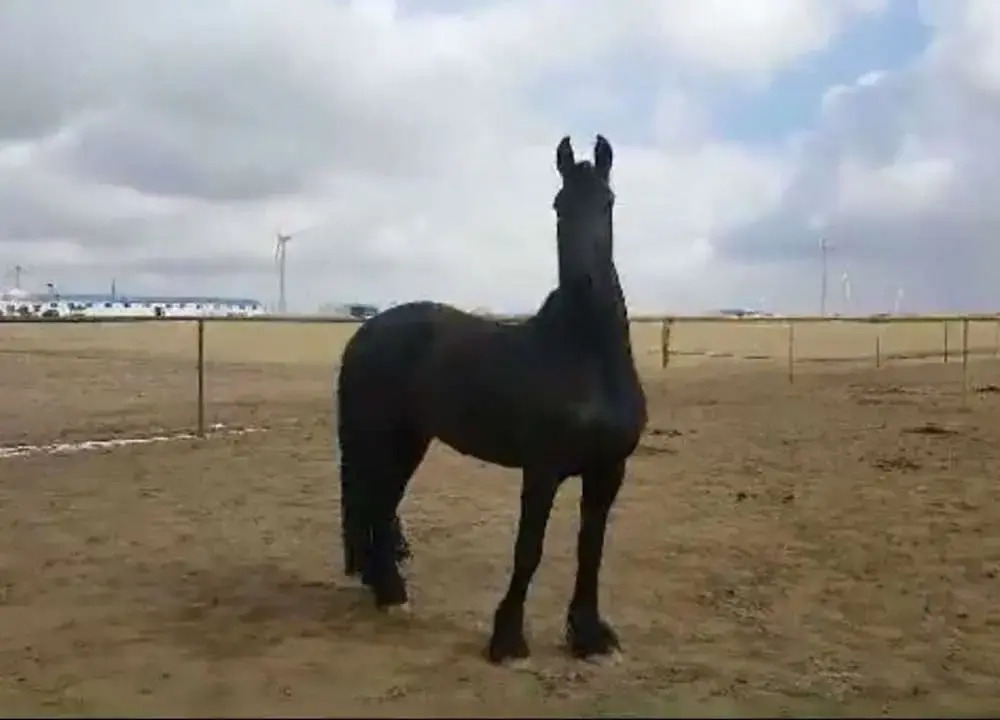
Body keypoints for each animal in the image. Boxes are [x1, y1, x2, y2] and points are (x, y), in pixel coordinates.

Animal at [336, 134, 648, 664]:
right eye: (559, 205)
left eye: (607, 202)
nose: (585, 283)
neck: (585, 358)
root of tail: (367, 331)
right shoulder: (542, 470)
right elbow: (529, 549)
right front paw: (508, 640)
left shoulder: (608, 471)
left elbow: (591, 549)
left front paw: (589, 636)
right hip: (380, 440)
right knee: (376, 504)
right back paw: (392, 594)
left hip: (409, 442)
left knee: (382, 504)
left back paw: (386, 589)